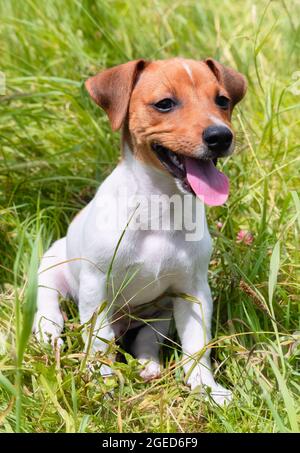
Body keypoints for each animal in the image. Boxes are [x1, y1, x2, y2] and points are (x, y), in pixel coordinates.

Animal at [34, 54, 247, 404]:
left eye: (222, 101)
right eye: (165, 104)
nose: (220, 137)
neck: (160, 208)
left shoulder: (193, 290)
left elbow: (197, 344)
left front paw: (206, 387)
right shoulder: (96, 287)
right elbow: (100, 340)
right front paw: (102, 381)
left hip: (160, 312)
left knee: (146, 339)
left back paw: (149, 365)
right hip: (52, 264)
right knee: (47, 301)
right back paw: (49, 331)